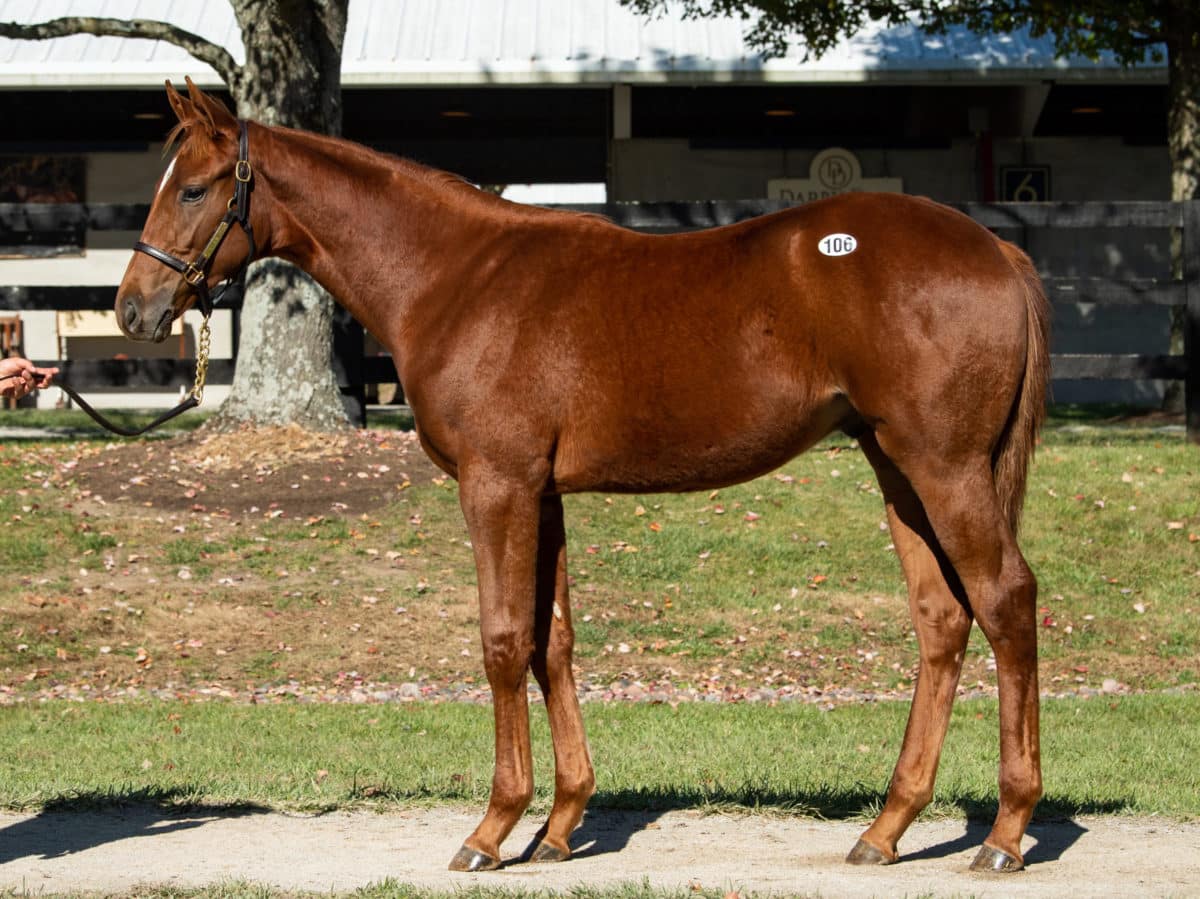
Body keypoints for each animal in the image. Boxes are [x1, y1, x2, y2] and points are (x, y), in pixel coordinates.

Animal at [117, 82, 1046, 868]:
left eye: (193, 189)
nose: (134, 308)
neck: (458, 276)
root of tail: (998, 248)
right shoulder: (544, 492)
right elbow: (551, 641)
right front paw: (560, 825)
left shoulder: (496, 486)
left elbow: (501, 640)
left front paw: (492, 828)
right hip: (897, 469)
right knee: (942, 619)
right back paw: (886, 829)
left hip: (944, 468)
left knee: (1005, 600)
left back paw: (1005, 831)